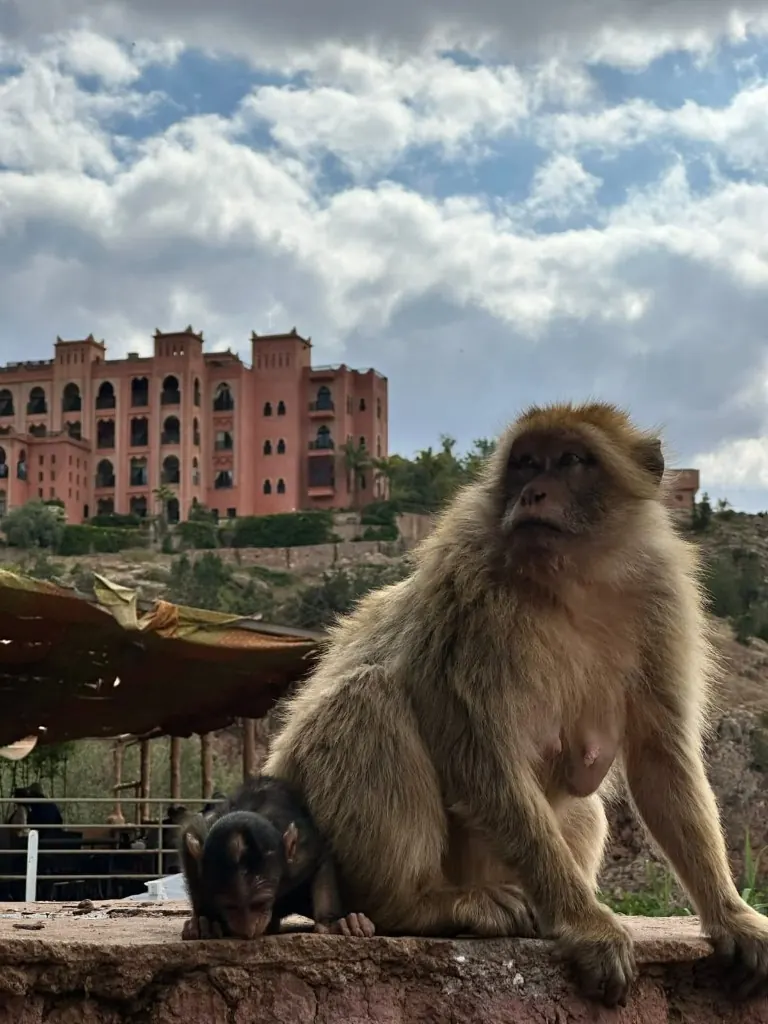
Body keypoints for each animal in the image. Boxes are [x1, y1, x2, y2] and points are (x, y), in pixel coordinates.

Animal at [178, 774, 375, 941]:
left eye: (259, 903)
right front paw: (206, 921)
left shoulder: (301, 855)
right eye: (229, 906)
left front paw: (330, 922)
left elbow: (321, 862)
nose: (248, 929)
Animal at [263, 399, 768, 1008]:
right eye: (526, 463)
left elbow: (659, 759)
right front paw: (585, 924)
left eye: (571, 460)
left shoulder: (662, 598)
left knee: (584, 807)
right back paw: (414, 904)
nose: (533, 493)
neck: (572, 578)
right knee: (367, 701)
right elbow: (480, 757)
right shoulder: (468, 593)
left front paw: (731, 915)